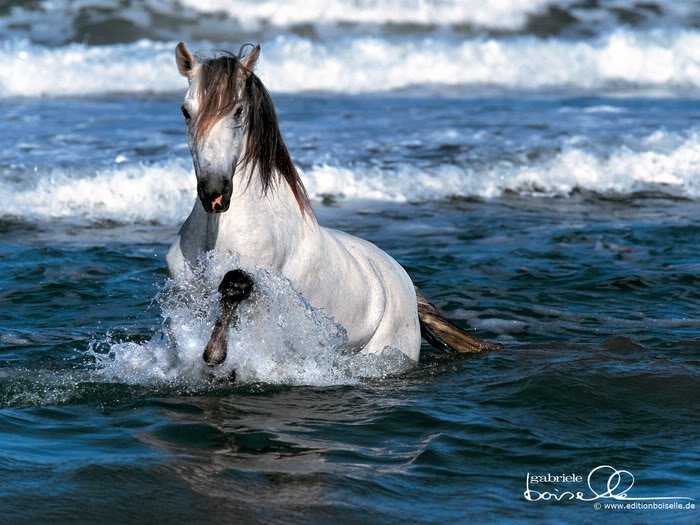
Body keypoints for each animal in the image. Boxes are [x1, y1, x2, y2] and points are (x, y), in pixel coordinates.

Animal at [168, 43, 498, 366]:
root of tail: (404, 280)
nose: (214, 192)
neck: (219, 232)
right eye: (185, 111)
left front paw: (215, 354)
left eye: (237, 111)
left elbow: (235, 286)